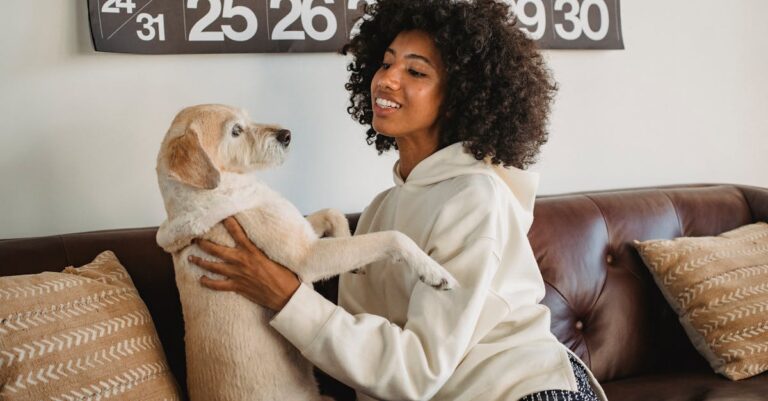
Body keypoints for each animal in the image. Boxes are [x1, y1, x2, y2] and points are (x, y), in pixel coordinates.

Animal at [155, 104, 458, 401]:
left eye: (247, 119)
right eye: (235, 131)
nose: (287, 135)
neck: (210, 193)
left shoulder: (303, 229)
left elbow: (333, 213)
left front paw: (354, 262)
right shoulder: (307, 255)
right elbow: (393, 237)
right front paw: (434, 272)